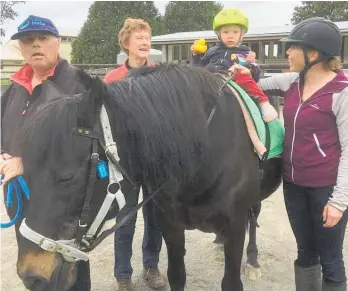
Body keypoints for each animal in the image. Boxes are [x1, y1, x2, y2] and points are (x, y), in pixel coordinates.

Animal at [10, 64, 282, 291]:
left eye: (68, 176)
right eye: (26, 172)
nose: (31, 276)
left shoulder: (235, 225)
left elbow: (231, 281)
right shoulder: (170, 224)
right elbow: (176, 276)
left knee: (254, 218)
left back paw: (253, 261)